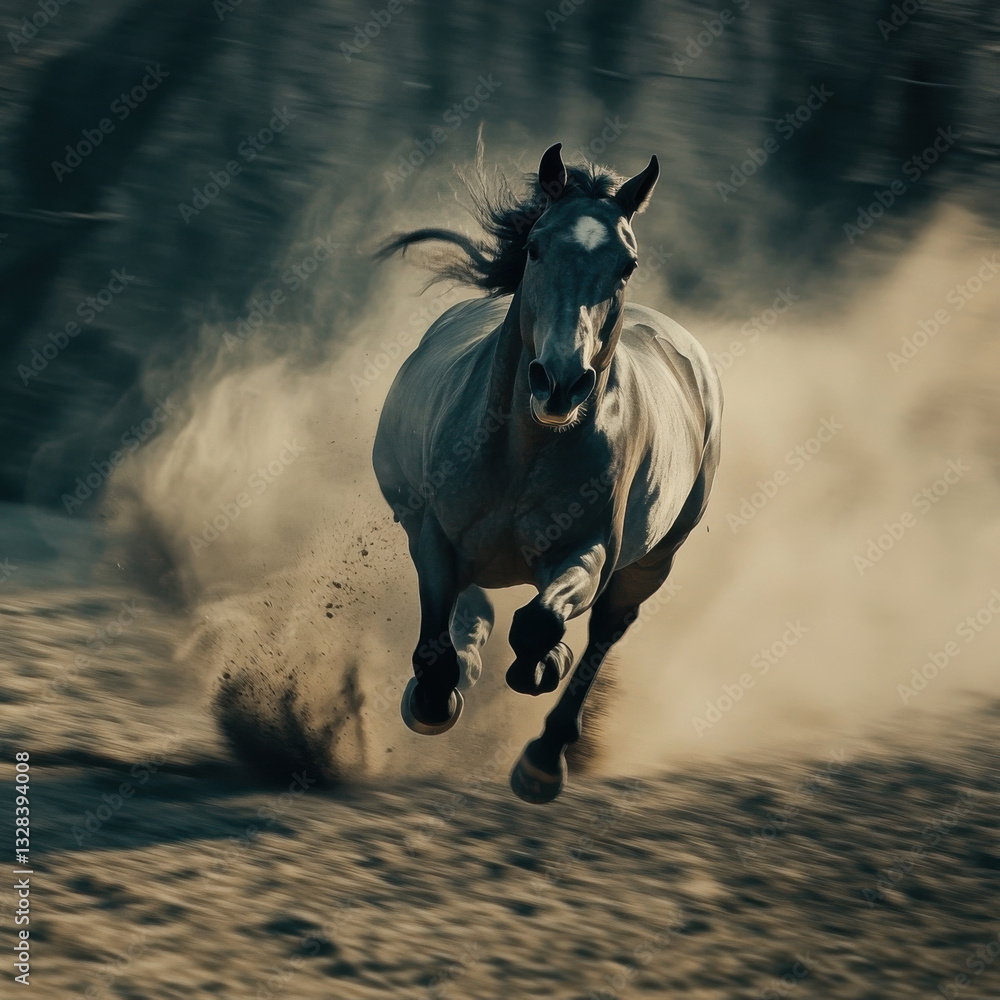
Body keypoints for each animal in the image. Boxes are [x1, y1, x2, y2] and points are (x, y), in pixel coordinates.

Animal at [373, 142, 722, 803]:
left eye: (627, 265)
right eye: (536, 247)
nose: (560, 381)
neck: (525, 453)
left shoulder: (589, 551)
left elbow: (539, 622)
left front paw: (541, 665)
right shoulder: (434, 534)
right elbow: (437, 642)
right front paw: (433, 696)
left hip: (654, 561)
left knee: (606, 631)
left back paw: (543, 757)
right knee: (472, 602)